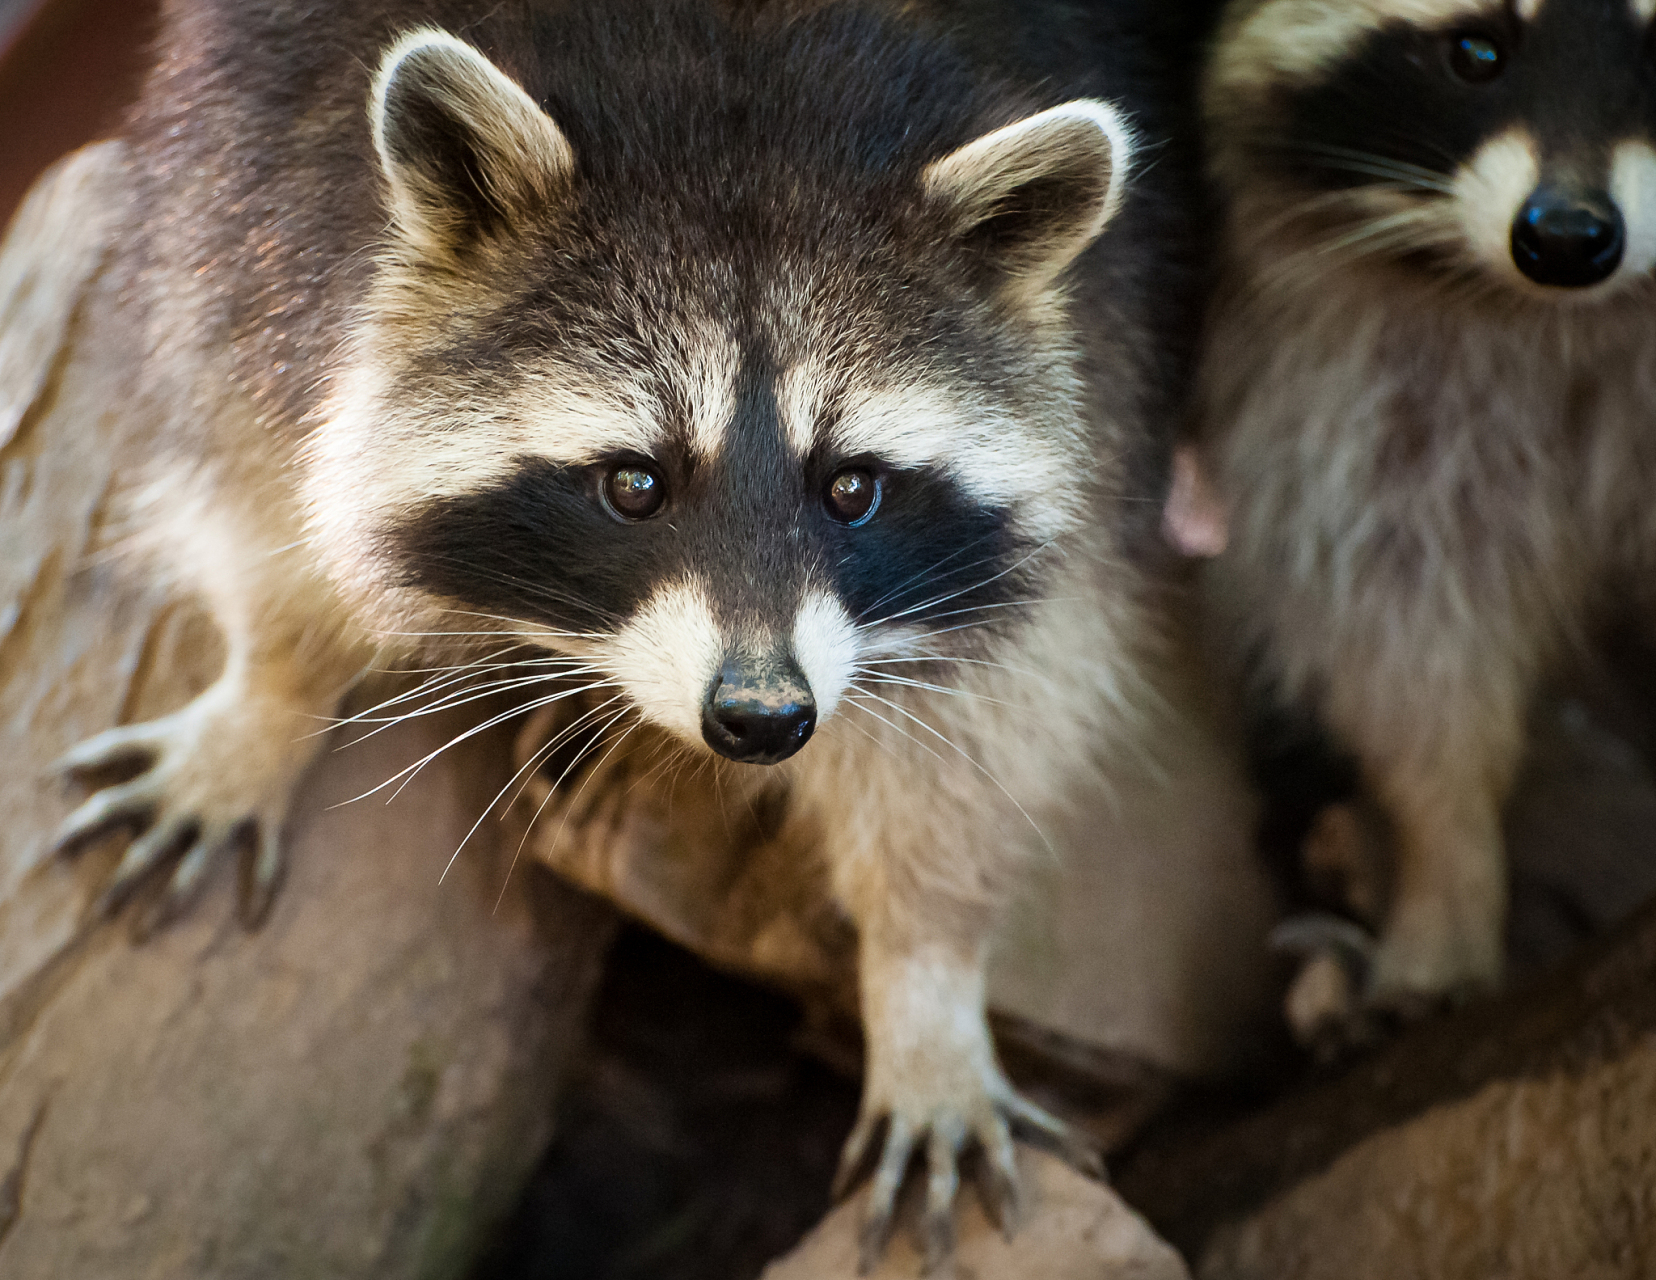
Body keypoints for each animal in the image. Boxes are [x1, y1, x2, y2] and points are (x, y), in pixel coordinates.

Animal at [45, 0, 1198, 1265]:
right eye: (635, 484)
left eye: (851, 488)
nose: (762, 716)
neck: (748, 113)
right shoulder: (258, 176)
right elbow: (254, 444)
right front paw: (273, 684)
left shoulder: (1106, 355)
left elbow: (995, 702)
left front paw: (926, 969)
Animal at [1198, 0, 1656, 1013]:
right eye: (1477, 53)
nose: (1566, 237)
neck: (1571, 313)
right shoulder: (1362, 396)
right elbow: (1408, 633)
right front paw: (1445, 866)